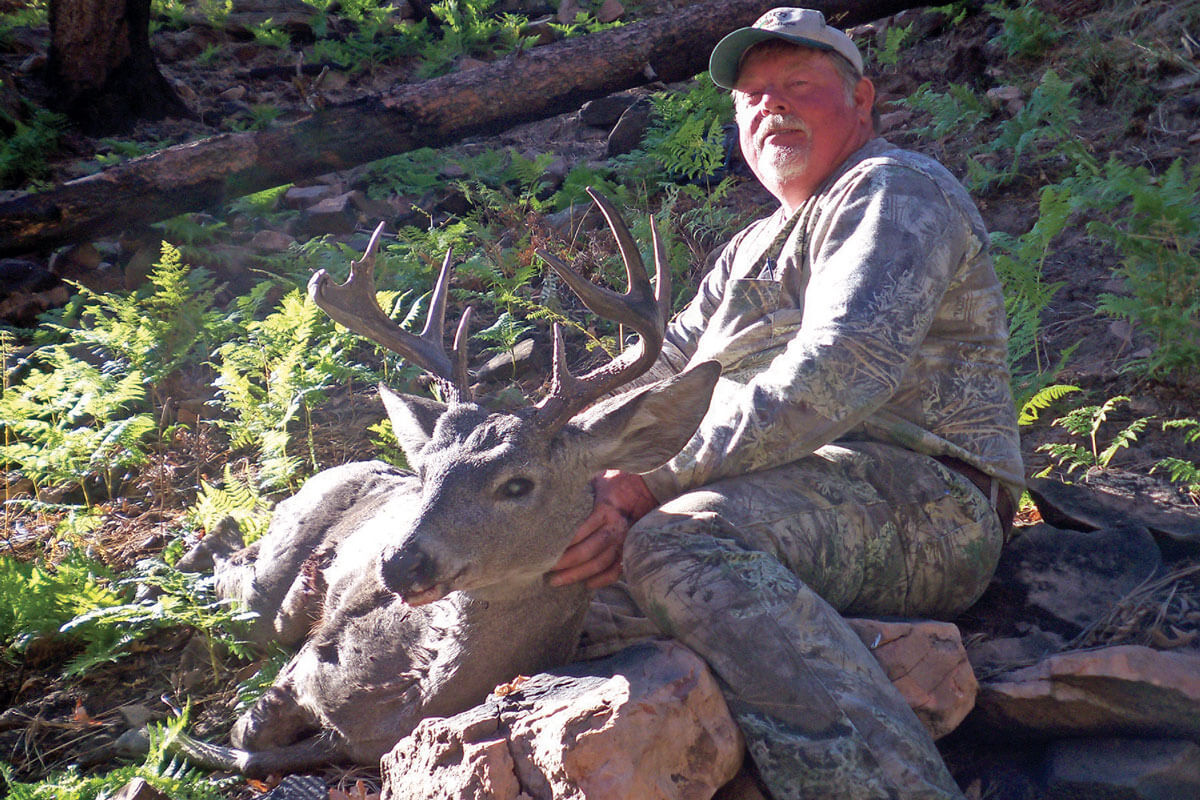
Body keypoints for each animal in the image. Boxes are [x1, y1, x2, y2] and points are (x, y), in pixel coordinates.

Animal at [172, 190, 715, 777]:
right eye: (427, 470)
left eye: (517, 485)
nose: (398, 563)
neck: (414, 694)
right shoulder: (306, 660)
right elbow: (246, 732)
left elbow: (250, 741)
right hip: (274, 581)